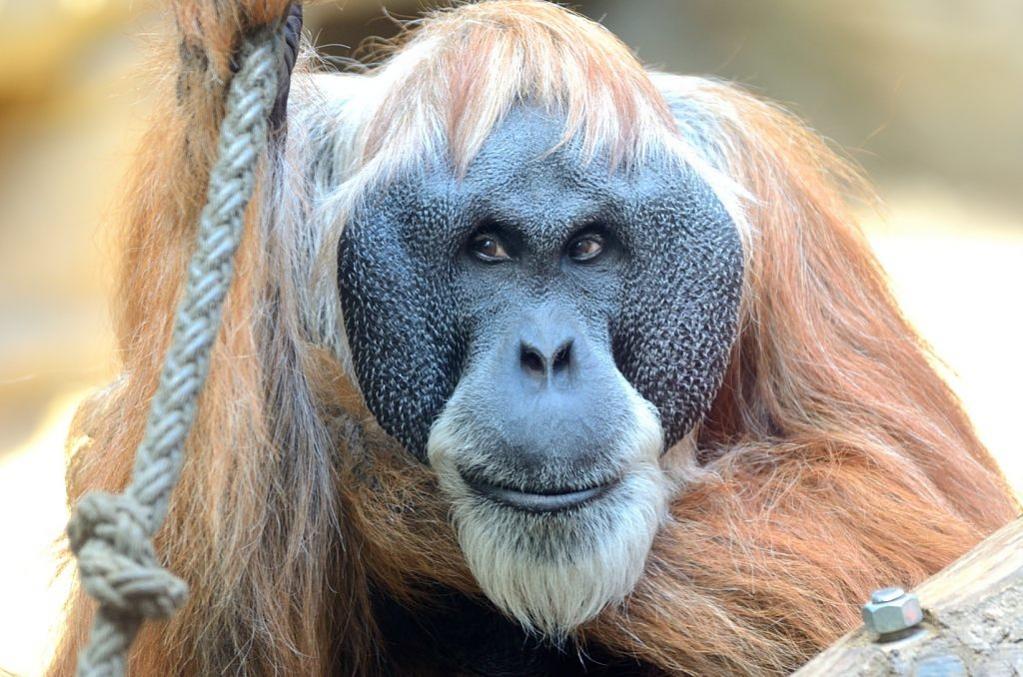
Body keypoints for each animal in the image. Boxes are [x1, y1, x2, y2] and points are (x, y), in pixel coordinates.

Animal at [50, 1, 1018, 675]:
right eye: (489, 248)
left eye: (588, 246)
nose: (547, 357)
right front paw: (220, 69)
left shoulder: (775, 201)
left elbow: (899, 503)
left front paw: (351, 445)